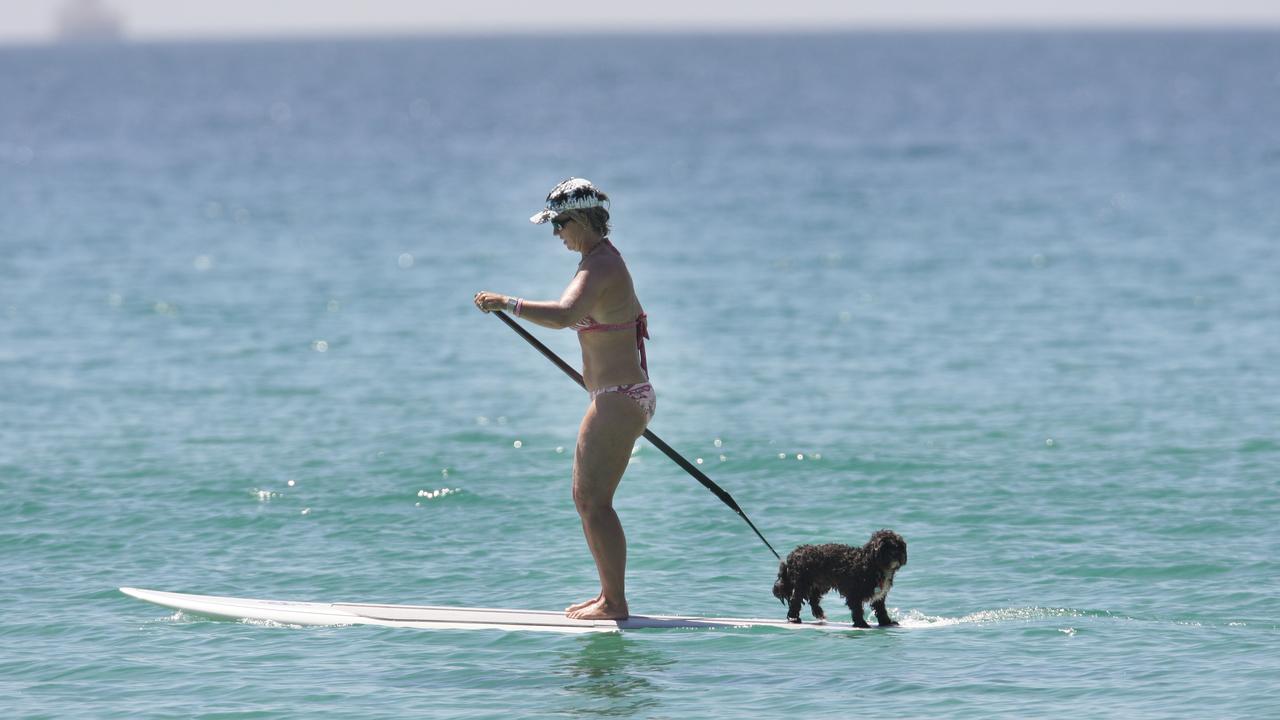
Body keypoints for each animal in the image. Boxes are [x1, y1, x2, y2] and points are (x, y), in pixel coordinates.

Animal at [768, 527, 911, 622]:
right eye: (884, 546)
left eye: (898, 545)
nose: (895, 554)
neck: (873, 564)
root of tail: (794, 553)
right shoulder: (855, 593)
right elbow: (857, 609)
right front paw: (862, 624)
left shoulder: (879, 594)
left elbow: (881, 609)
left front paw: (887, 622)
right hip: (803, 583)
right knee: (796, 600)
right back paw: (794, 618)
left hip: (819, 583)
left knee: (813, 599)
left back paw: (819, 614)